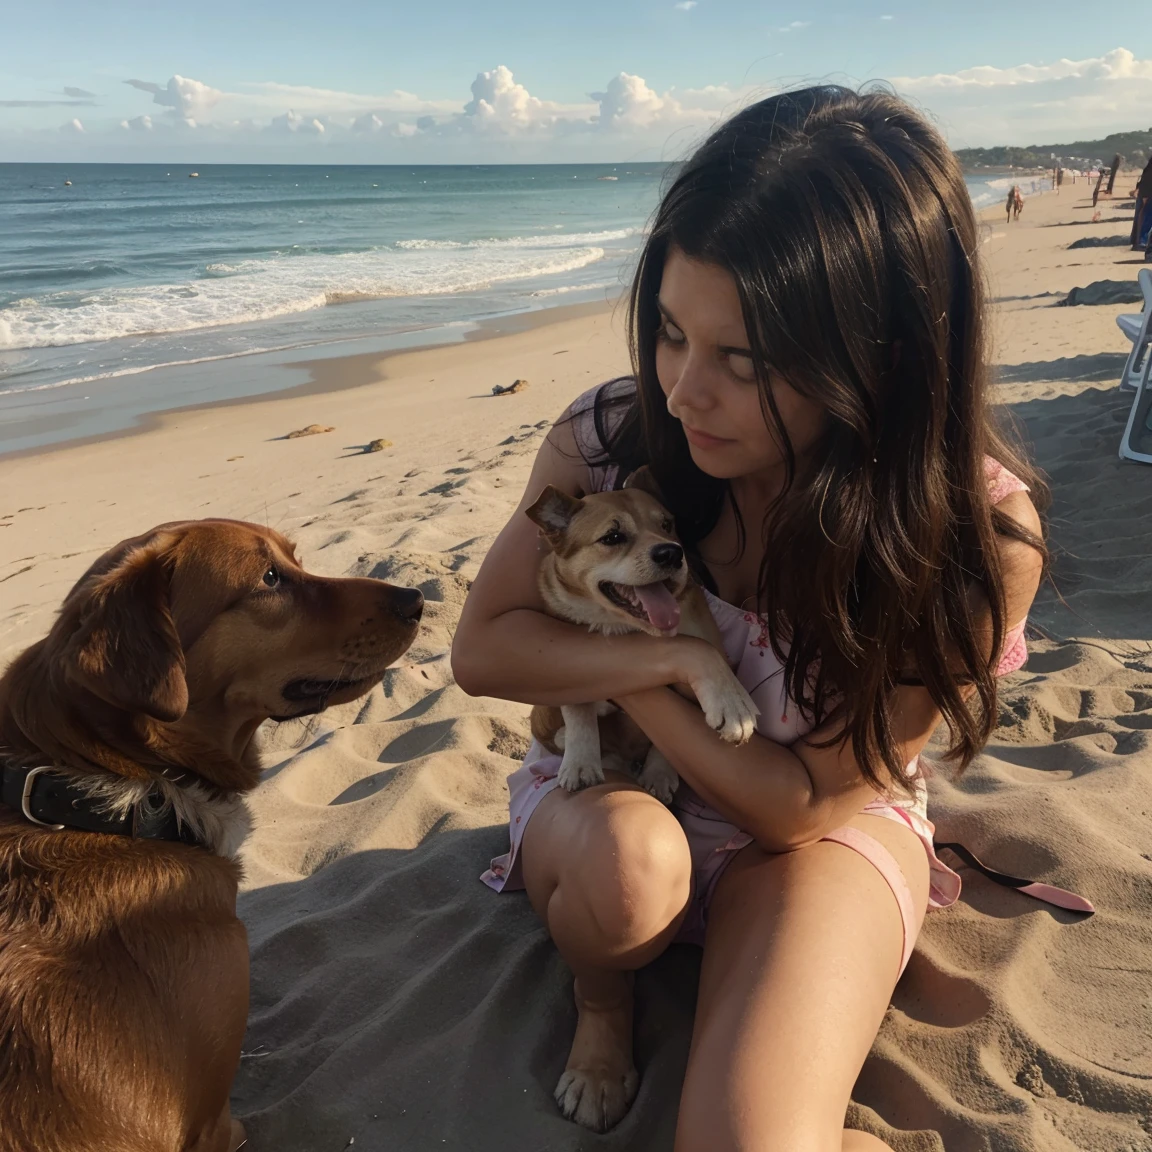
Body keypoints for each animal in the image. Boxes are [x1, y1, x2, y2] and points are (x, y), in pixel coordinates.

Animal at [527, 467, 755, 801]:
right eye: (612, 537)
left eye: (666, 524)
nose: (672, 553)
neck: (624, 625)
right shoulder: (562, 659)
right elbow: (578, 709)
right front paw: (581, 764)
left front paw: (660, 771)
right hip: (540, 712)